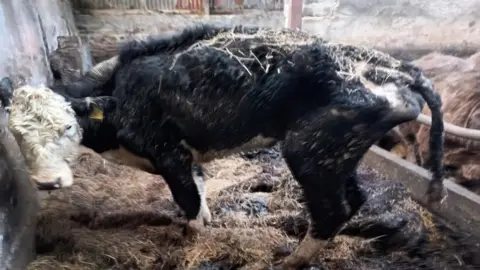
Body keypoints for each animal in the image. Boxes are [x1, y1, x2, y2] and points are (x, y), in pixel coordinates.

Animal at [2, 24, 446, 268]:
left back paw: (293, 261)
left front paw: (192, 240)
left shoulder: (167, 153)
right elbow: (200, 194)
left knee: (331, 209)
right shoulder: (186, 156)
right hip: (337, 153)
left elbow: (188, 204)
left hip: (309, 151)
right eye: (18, 136)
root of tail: (396, 66)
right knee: (353, 200)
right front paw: (208, 223)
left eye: (66, 127)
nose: (46, 183)